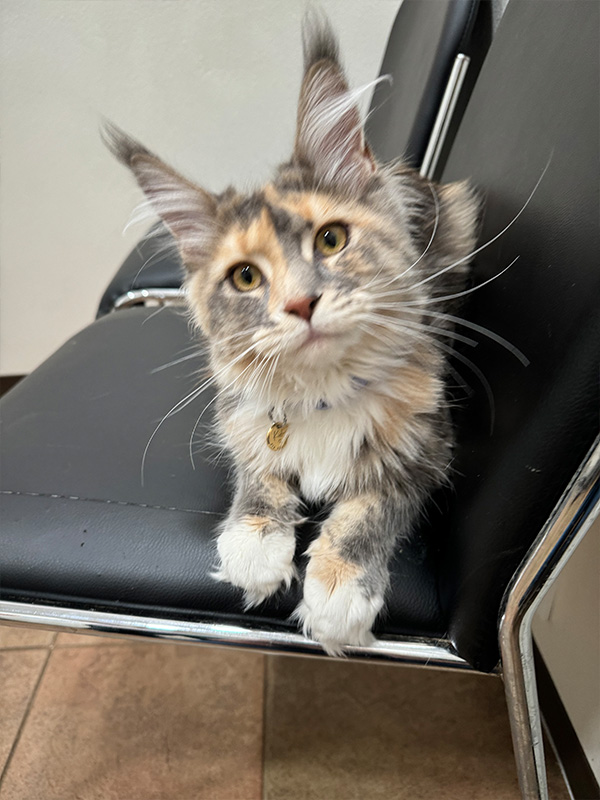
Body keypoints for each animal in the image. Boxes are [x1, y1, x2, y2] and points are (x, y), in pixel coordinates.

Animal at [103, 14, 478, 656]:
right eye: (246, 277)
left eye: (331, 240)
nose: (302, 303)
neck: (325, 393)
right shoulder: (240, 414)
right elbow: (259, 471)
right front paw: (254, 546)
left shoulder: (430, 446)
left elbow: (369, 506)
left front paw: (337, 592)